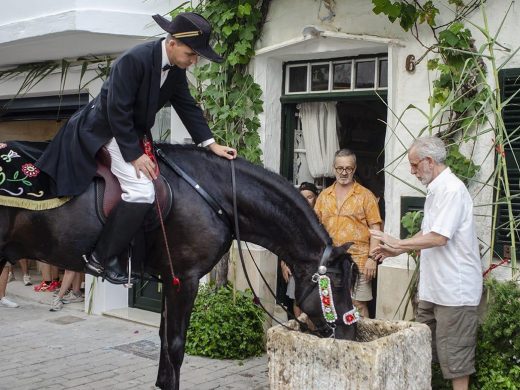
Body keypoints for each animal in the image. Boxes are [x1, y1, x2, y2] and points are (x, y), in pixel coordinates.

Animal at [0, 144, 358, 390]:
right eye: (338, 283)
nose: (350, 335)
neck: (211, 193)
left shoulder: (169, 279)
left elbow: (163, 338)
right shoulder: (184, 280)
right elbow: (175, 345)